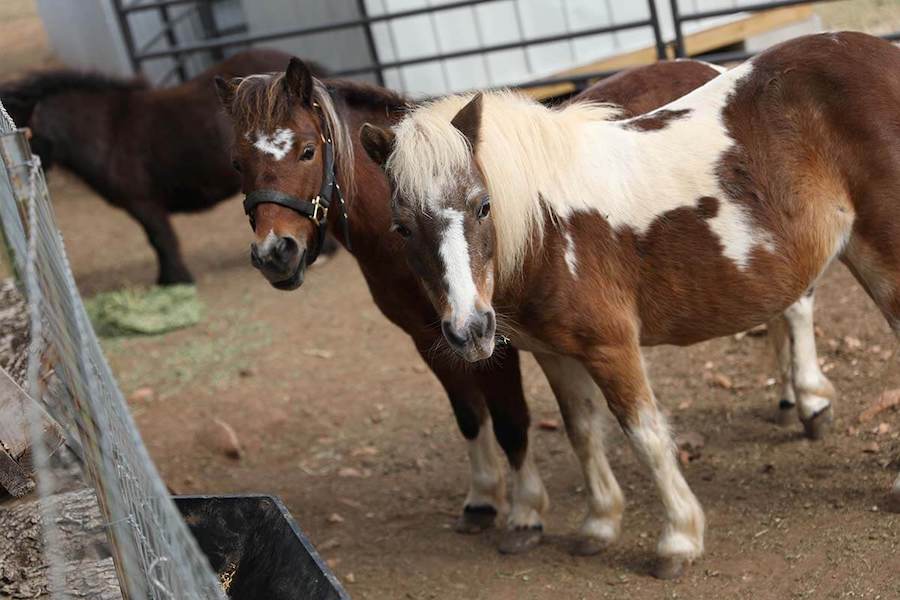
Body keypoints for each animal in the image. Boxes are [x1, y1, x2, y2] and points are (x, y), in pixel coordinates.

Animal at [361, 31, 900, 578]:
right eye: (401, 228)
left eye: (483, 206)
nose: (469, 330)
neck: (547, 227)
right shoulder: (555, 354)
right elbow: (582, 430)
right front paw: (599, 524)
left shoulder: (612, 347)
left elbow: (644, 433)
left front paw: (678, 539)